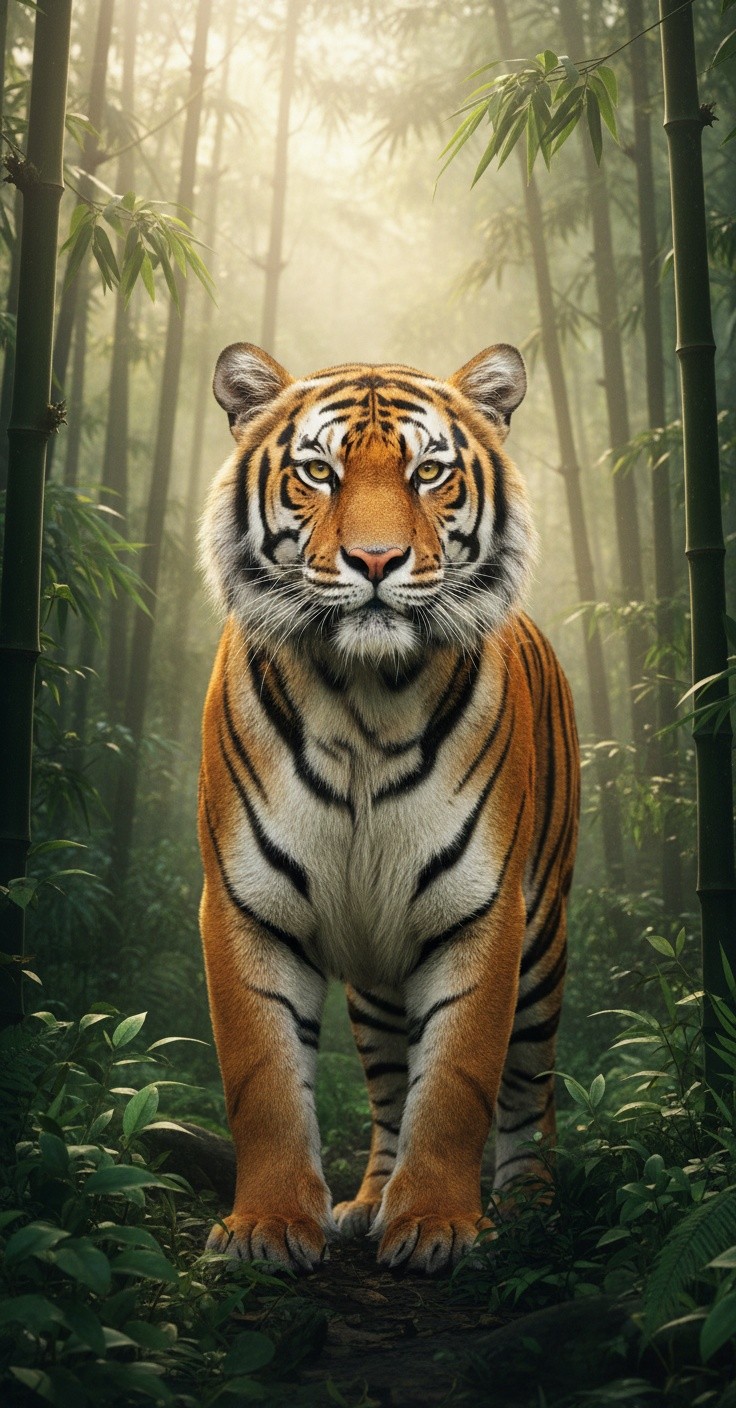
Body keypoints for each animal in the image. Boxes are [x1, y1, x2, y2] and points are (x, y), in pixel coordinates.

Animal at [197, 340, 579, 1274]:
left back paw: (531, 1210)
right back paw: (367, 1201)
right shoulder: (244, 904)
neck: (363, 699)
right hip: (375, 974)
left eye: (429, 472)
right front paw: (267, 1226)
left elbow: (459, 1081)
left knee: (530, 1085)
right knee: (385, 1086)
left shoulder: (483, 911)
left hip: (545, 940)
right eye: (318, 472)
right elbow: (263, 1077)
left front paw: (440, 1224)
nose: (376, 562)